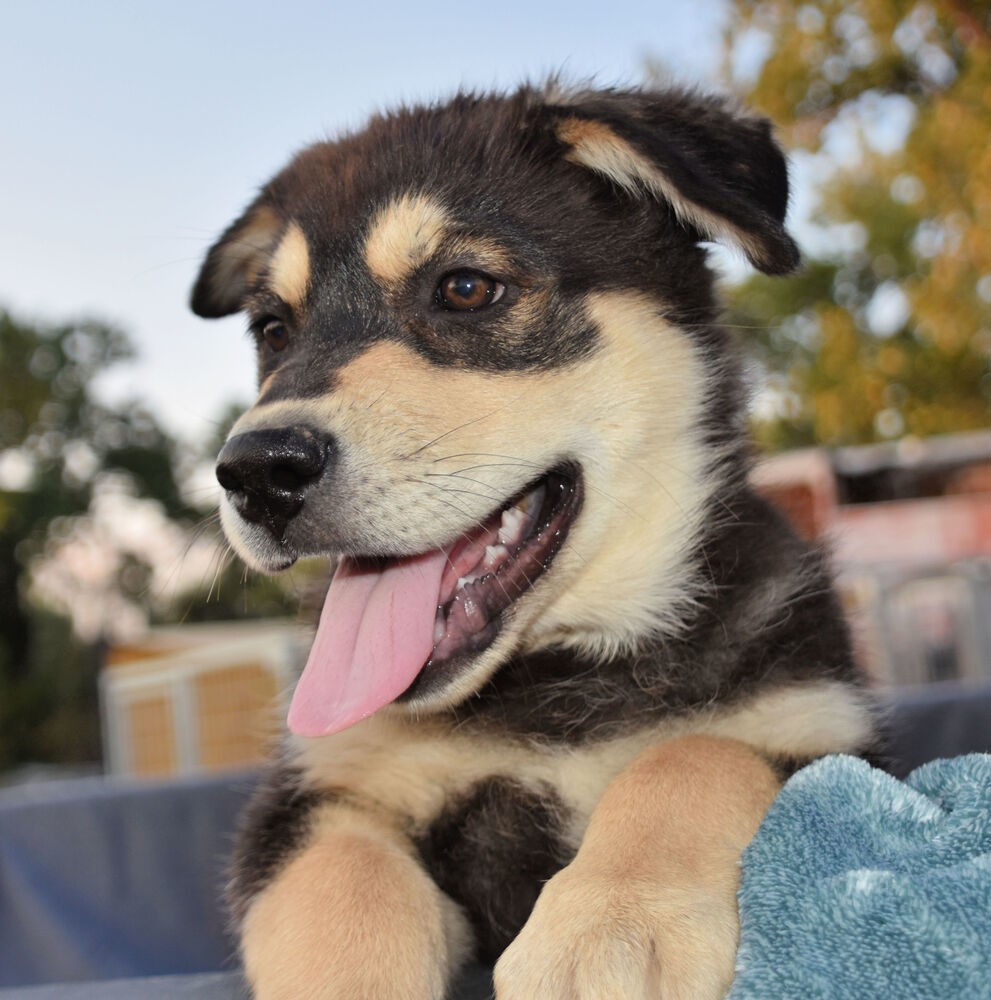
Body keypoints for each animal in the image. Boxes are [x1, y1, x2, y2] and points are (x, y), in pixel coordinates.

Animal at [192, 86, 876, 1000]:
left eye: (466, 288)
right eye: (272, 330)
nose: (256, 472)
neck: (557, 680)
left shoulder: (820, 727)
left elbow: (695, 753)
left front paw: (613, 925)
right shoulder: (316, 794)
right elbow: (340, 882)